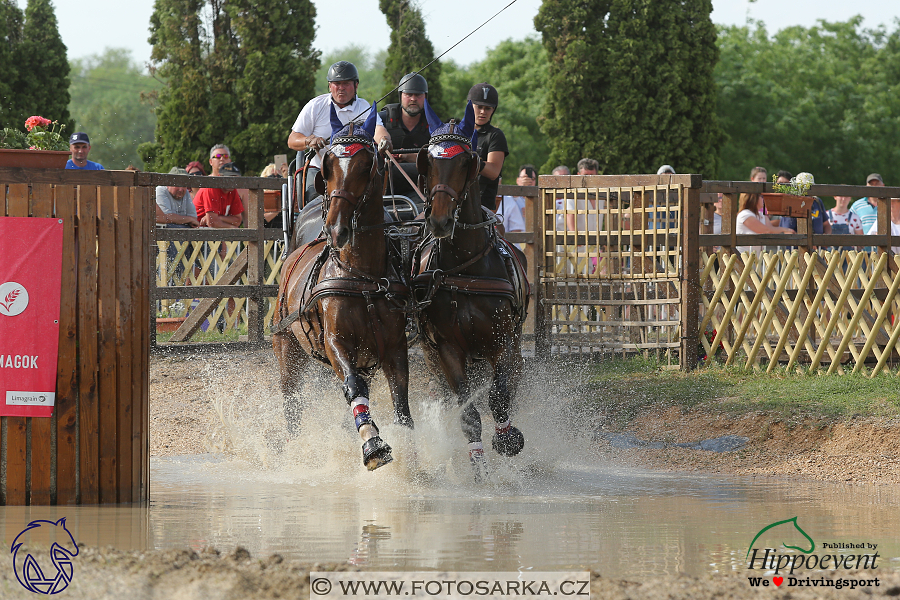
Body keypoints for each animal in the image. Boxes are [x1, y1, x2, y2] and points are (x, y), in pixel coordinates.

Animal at [270, 102, 412, 468]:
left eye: (365, 166)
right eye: (329, 166)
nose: (336, 228)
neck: (362, 277)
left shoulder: (394, 347)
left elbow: (401, 401)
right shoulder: (337, 345)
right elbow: (352, 386)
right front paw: (373, 444)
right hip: (287, 348)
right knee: (291, 401)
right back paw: (295, 449)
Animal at [414, 101, 532, 480]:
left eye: (467, 161)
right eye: (427, 160)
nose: (438, 220)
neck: (466, 267)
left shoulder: (502, 342)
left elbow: (498, 397)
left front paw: (508, 440)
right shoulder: (447, 350)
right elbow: (468, 412)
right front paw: (478, 468)